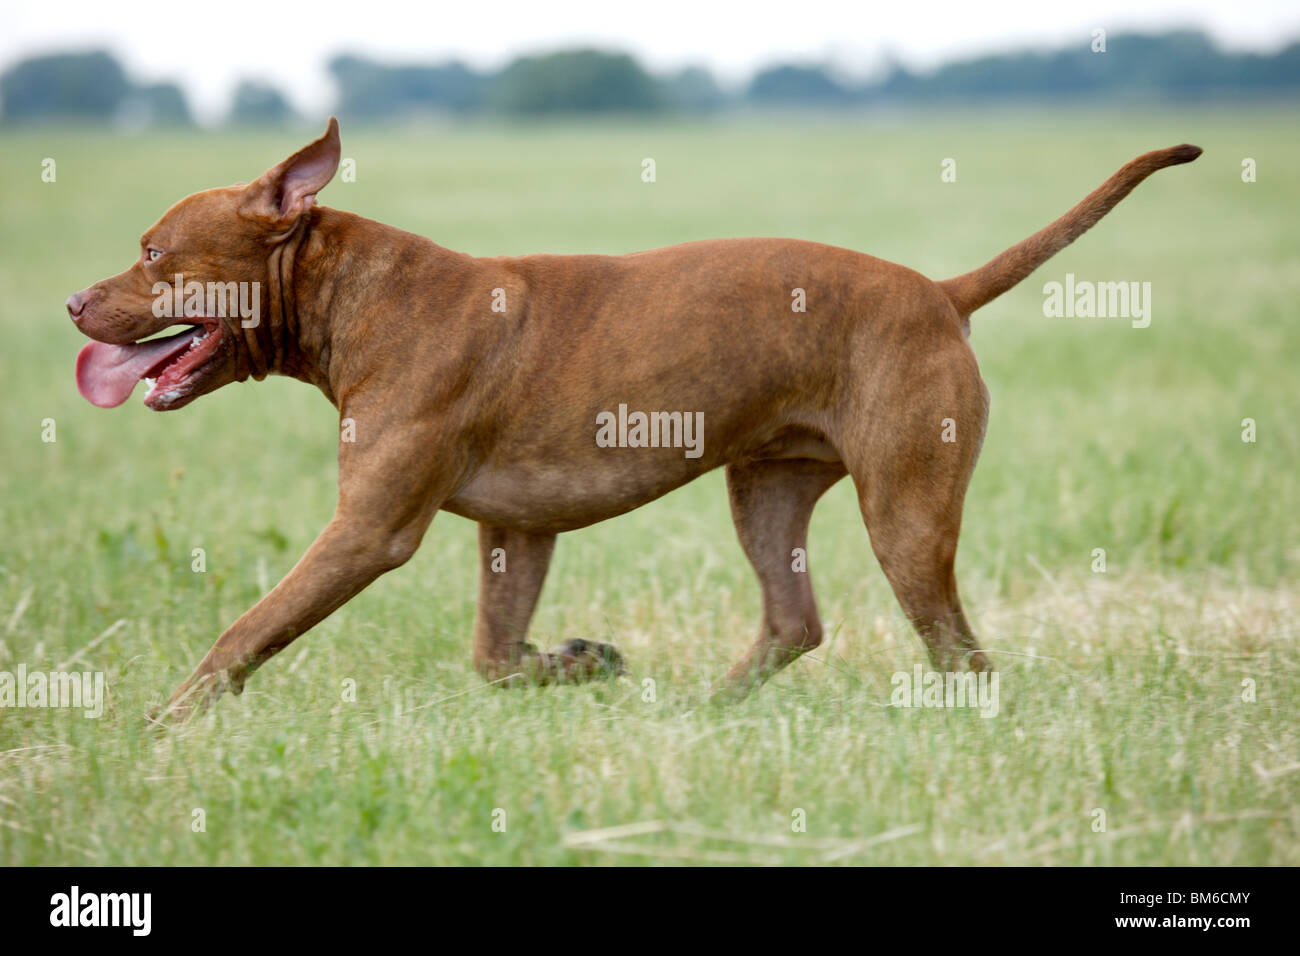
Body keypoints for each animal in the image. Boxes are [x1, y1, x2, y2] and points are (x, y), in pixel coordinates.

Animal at [61, 117, 1196, 717]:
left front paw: (164, 725)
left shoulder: (367, 530)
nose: (72, 302)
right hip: (767, 491)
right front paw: (574, 662)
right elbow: (494, 652)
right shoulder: (514, 529)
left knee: (958, 649)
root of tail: (941, 291)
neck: (348, 295)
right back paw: (708, 711)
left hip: (906, 513)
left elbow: (246, 630)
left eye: (155, 253)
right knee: (795, 619)